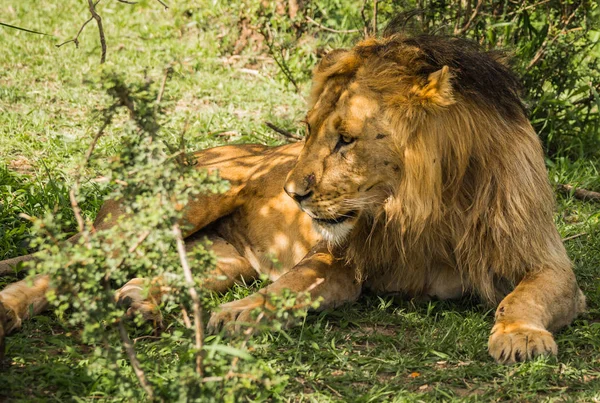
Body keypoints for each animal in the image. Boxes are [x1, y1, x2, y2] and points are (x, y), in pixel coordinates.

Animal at [0, 33, 584, 364]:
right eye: (307, 130)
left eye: (346, 139)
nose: (292, 193)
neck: (427, 208)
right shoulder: (338, 258)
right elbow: (293, 284)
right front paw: (243, 314)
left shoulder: (549, 265)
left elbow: (521, 298)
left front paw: (522, 338)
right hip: (176, 208)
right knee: (64, 267)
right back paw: (10, 309)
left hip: (223, 258)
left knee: (163, 274)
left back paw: (141, 300)